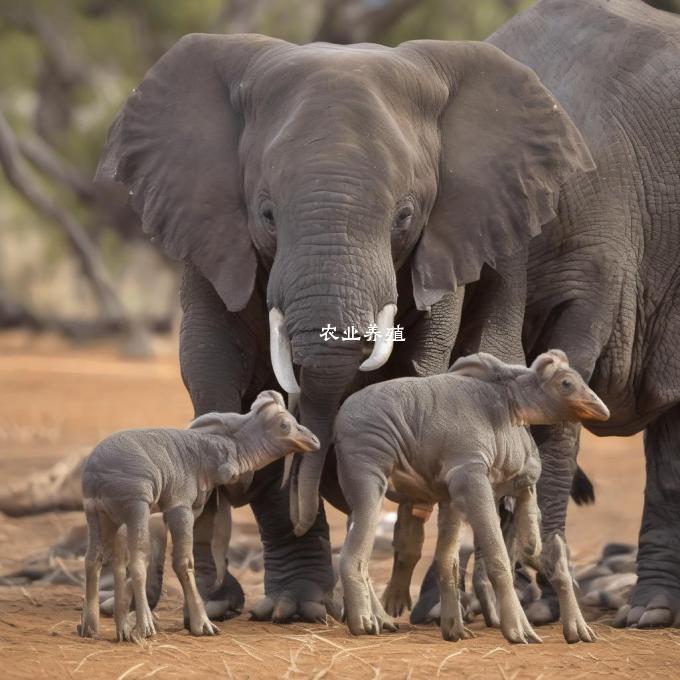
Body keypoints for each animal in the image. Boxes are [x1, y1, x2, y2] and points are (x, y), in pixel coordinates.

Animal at [95, 33, 588, 620]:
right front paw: (266, 599)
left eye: (405, 216)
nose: (308, 485)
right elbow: (211, 363)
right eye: (266, 214)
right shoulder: (211, 229)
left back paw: (435, 609)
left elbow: (424, 367)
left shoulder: (446, 239)